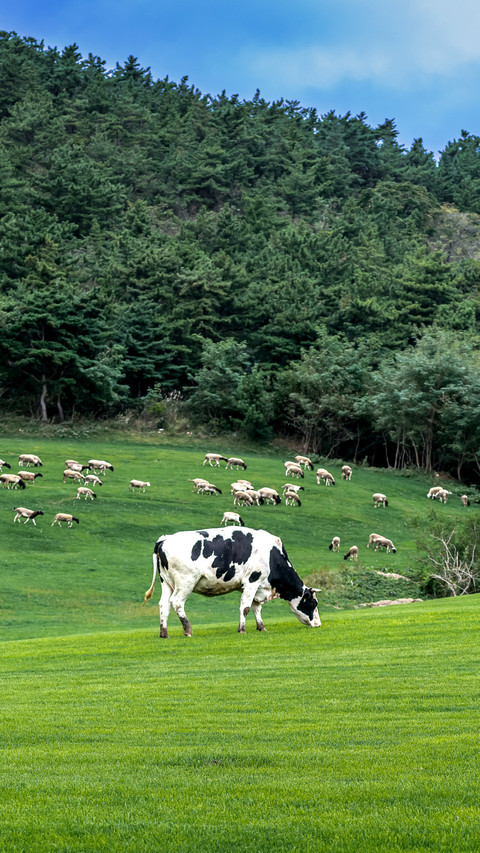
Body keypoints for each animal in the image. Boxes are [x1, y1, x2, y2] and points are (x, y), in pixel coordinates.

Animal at [143, 527, 321, 638]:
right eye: (313, 603)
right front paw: (242, 630)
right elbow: (246, 608)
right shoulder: (252, 581)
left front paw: (261, 627)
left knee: (164, 605)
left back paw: (164, 633)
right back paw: (188, 630)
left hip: (167, 583)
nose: (318, 625)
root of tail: (165, 539)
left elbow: (256, 608)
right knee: (177, 602)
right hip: (185, 582)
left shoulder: (257, 586)